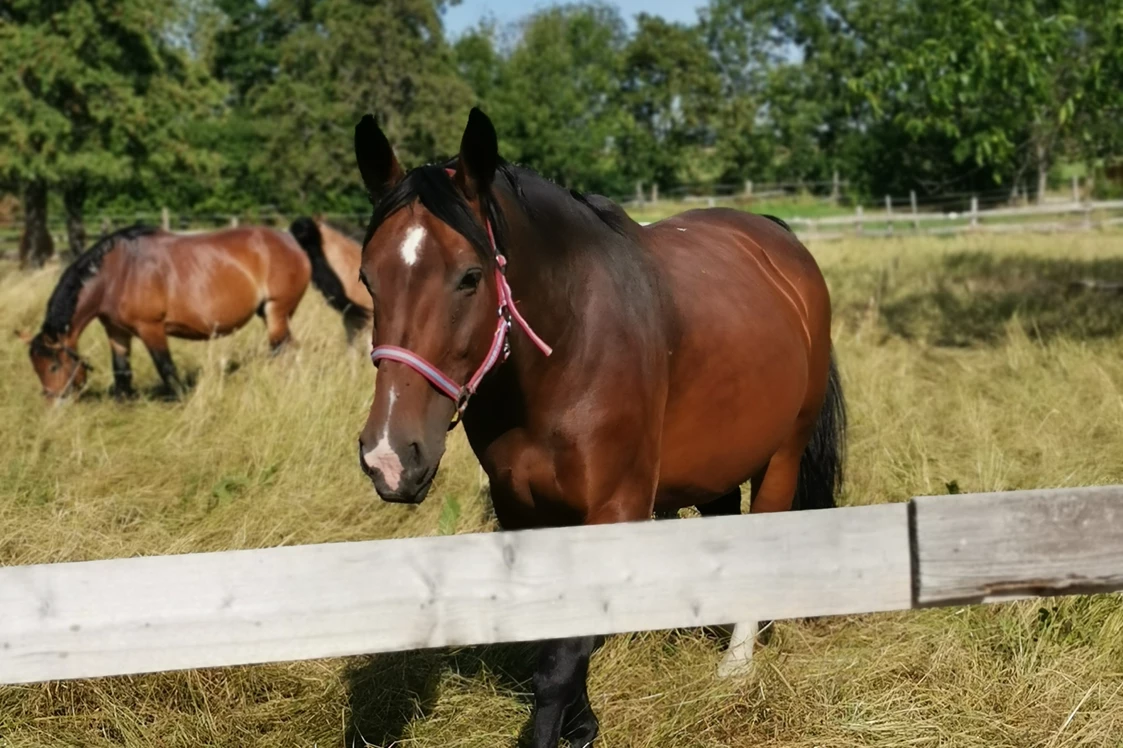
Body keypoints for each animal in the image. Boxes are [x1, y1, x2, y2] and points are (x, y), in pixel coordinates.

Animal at [20, 221, 312, 395]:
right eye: (36, 367)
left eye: (53, 367)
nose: (54, 405)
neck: (117, 273)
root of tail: (290, 240)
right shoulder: (116, 332)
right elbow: (122, 371)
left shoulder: (151, 329)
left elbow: (166, 369)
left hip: (277, 312)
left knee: (282, 349)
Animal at [350, 106, 844, 745]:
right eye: (368, 277)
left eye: (469, 276)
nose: (389, 455)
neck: (567, 349)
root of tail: (779, 239)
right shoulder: (522, 511)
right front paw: (581, 722)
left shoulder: (615, 506)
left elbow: (561, 660)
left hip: (783, 453)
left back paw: (735, 666)